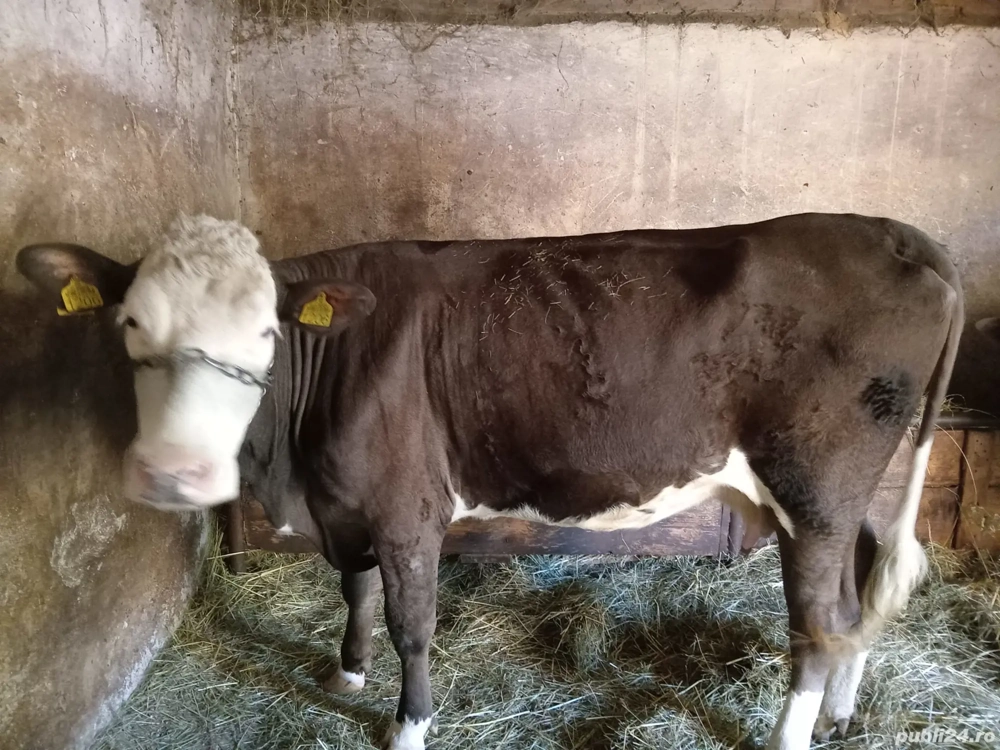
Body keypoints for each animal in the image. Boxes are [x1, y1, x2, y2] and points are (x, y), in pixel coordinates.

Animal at [16, 212, 962, 750]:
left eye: (264, 333)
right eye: (130, 322)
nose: (174, 473)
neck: (295, 463)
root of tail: (889, 230)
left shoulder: (406, 505)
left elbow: (412, 624)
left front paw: (407, 726)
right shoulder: (348, 504)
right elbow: (356, 592)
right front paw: (346, 675)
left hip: (814, 485)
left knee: (818, 626)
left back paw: (792, 734)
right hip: (839, 499)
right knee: (849, 603)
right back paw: (839, 716)